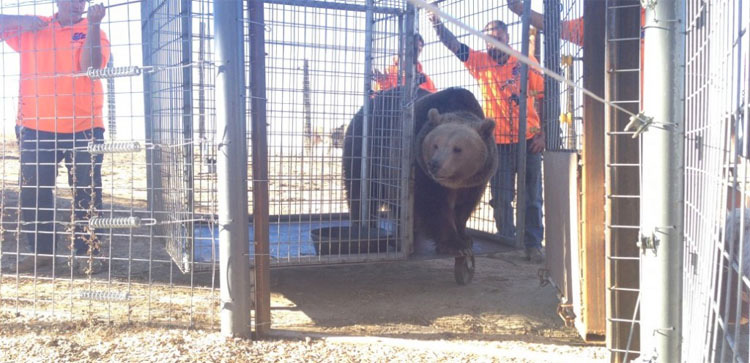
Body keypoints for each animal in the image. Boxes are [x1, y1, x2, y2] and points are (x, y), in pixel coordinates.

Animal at [342, 86, 496, 256]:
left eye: (457, 149)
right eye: (435, 145)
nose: (435, 164)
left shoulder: (475, 180)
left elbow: (464, 206)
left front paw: (465, 237)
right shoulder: (419, 165)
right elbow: (432, 204)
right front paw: (454, 243)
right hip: (366, 148)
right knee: (361, 191)